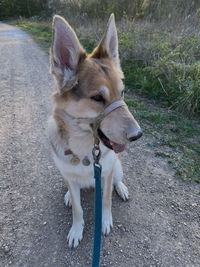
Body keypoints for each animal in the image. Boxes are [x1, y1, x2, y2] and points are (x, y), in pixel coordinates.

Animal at [47, 14, 142, 249]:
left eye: (122, 93)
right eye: (98, 98)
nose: (138, 135)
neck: (86, 150)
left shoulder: (106, 174)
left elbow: (106, 200)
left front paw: (105, 221)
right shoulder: (70, 177)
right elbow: (77, 209)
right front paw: (76, 229)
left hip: (117, 167)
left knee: (117, 179)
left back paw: (122, 188)